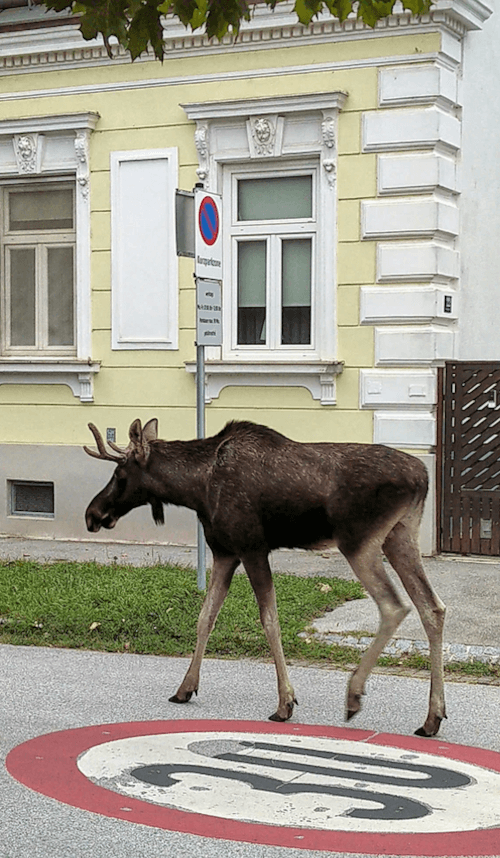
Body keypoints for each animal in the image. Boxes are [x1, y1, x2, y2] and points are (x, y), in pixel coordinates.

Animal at [84, 418, 446, 737]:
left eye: (120, 474)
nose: (93, 514)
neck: (195, 490)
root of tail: (424, 477)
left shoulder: (252, 547)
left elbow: (269, 619)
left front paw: (285, 703)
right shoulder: (225, 552)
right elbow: (205, 617)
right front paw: (185, 688)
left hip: (359, 541)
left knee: (394, 606)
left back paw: (354, 695)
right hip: (400, 535)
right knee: (433, 607)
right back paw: (432, 717)